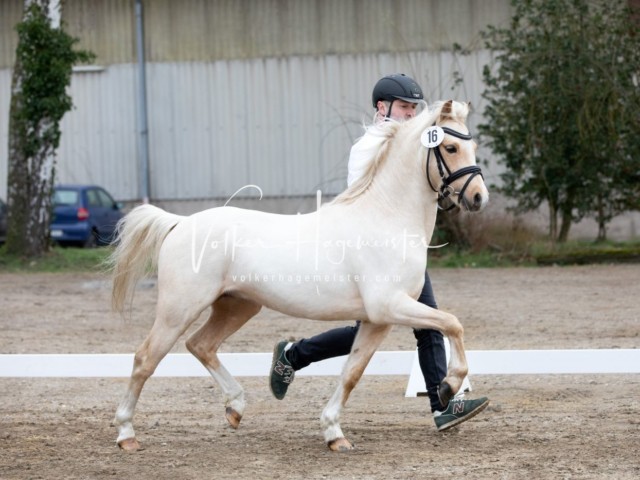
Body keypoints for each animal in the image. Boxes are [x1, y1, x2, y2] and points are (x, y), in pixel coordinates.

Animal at [111, 99, 490, 452]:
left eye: (473, 145)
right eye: (450, 148)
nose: (478, 198)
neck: (386, 218)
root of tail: (180, 223)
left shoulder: (377, 320)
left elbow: (352, 372)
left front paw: (334, 434)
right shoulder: (389, 306)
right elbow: (453, 323)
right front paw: (449, 386)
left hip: (237, 306)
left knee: (200, 344)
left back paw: (236, 408)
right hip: (179, 309)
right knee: (145, 358)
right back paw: (127, 435)